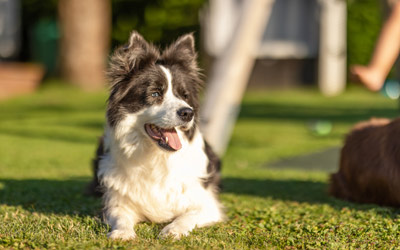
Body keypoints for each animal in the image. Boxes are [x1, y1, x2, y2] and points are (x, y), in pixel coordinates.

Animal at [88, 31, 223, 240]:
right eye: (155, 93)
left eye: (184, 95)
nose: (188, 113)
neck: (156, 156)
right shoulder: (116, 201)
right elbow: (121, 216)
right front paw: (122, 233)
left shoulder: (208, 205)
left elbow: (187, 216)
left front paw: (173, 229)